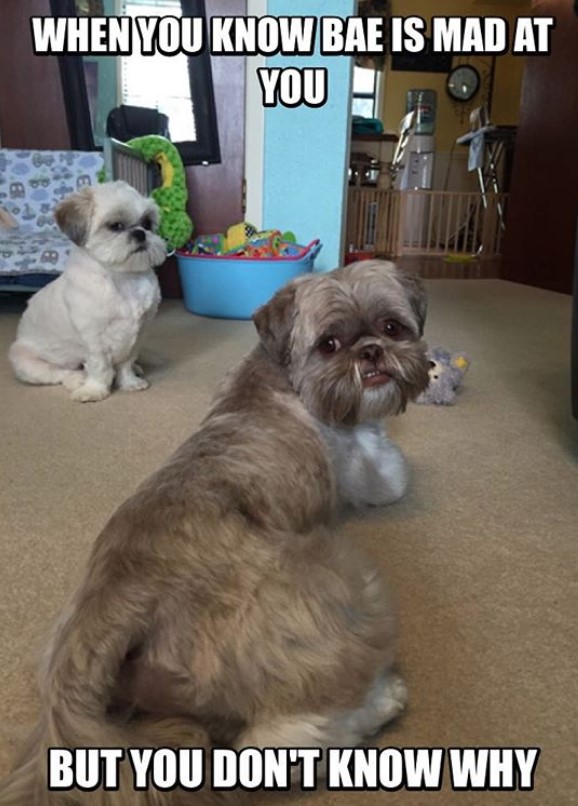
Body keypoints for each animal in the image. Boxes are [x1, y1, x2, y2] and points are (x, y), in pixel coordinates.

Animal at [1, 262, 428, 804]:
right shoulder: (370, 466)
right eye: (330, 344)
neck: (280, 373)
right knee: (274, 743)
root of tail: (112, 605)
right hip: (341, 588)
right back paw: (381, 702)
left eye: (392, 327)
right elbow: (393, 471)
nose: (372, 351)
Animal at [9, 180, 166, 400]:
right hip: (24, 359)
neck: (122, 277)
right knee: (61, 373)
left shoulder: (138, 334)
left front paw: (130, 382)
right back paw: (78, 379)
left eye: (147, 224)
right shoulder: (94, 340)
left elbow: (126, 363)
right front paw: (94, 390)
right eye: (115, 226)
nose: (140, 233)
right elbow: (100, 368)